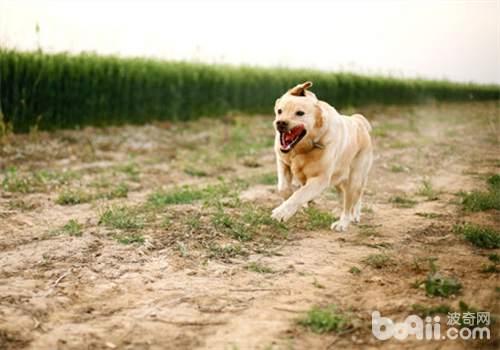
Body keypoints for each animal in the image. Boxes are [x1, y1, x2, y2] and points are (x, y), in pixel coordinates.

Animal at [272, 80, 374, 231]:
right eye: (280, 111)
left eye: (300, 113)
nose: (280, 122)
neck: (302, 148)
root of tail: (359, 120)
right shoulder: (283, 162)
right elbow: (284, 188)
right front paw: (295, 208)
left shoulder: (320, 179)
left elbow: (299, 194)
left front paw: (282, 212)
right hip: (338, 182)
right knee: (356, 195)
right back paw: (354, 215)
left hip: (353, 179)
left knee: (351, 201)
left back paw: (344, 222)